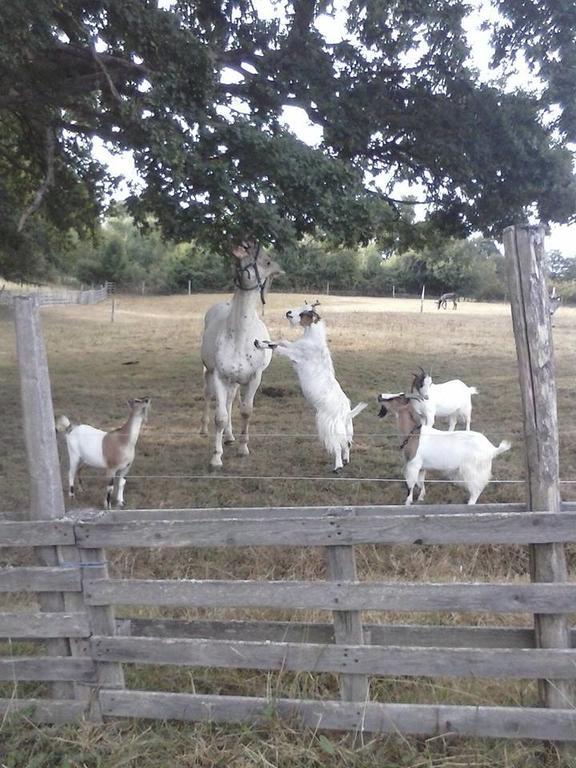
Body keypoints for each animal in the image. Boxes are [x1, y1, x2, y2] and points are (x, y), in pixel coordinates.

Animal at [200, 240, 284, 468]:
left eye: (267, 261)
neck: (239, 336)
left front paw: (243, 448)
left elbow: (246, 411)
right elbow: (219, 416)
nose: (240, 248)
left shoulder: (254, 378)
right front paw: (216, 457)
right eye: (241, 256)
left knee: (230, 401)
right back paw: (204, 430)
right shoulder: (219, 376)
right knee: (209, 396)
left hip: (235, 381)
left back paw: (229, 437)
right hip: (210, 373)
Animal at [255, 302, 366, 472]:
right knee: (347, 444)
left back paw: (338, 466)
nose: (288, 313)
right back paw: (346, 460)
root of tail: (345, 413)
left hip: (328, 425)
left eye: (304, 313)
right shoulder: (293, 346)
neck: (312, 338)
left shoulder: (295, 354)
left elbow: (278, 347)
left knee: (337, 445)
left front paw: (260, 343)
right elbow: (282, 341)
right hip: (347, 428)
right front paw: (265, 341)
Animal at [380, 392, 510, 508]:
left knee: (476, 489)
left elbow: (410, 484)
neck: (413, 433)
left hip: (472, 470)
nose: (379, 397)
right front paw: (421, 498)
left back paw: (469, 504)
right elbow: (420, 482)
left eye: (395, 398)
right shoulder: (422, 467)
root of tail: (492, 449)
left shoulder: (413, 464)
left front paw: (407, 503)